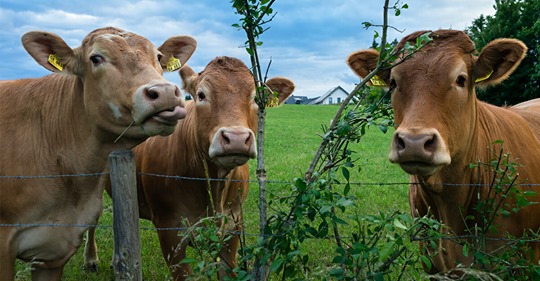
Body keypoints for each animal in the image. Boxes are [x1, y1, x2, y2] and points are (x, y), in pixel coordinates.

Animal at [85, 56, 296, 278]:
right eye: (201, 95)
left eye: (256, 98)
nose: (236, 138)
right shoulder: (169, 232)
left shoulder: (234, 225)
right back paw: (91, 259)